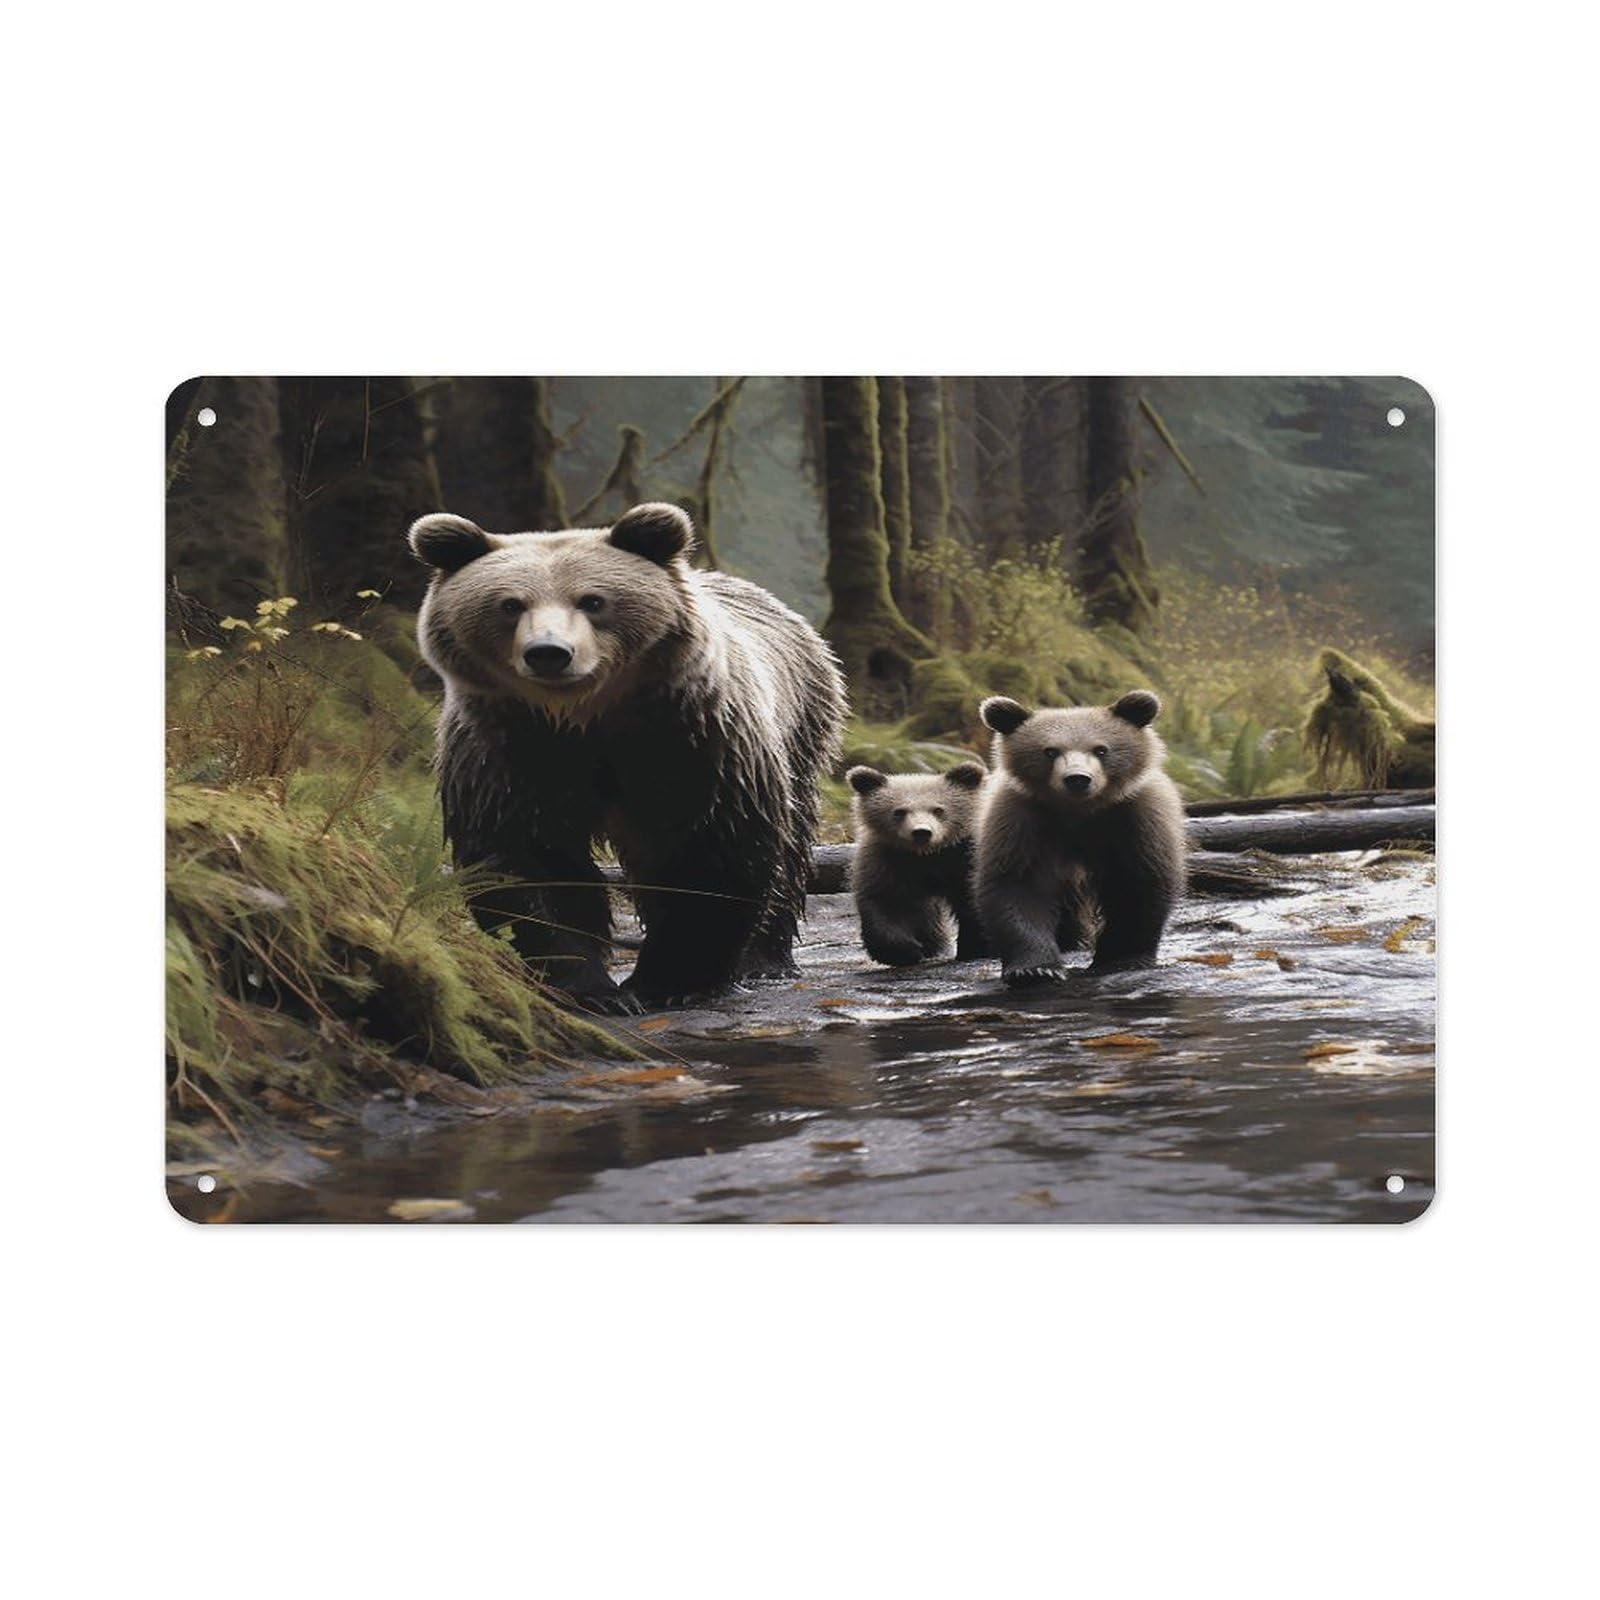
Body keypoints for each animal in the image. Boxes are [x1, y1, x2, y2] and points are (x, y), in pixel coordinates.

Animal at [409, 501, 847, 1015]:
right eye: (510, 604)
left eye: (593, 601)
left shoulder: (691, 740)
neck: (582, 717)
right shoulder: (509, 750)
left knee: (789, 845)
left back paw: (765, 959)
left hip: (800, 722)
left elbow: (715, 847)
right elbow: (526, 859)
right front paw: (592, 988)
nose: (549, 653)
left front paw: (669, 982)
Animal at [845, 762, 991, 966]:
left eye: (938, 810)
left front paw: (976, 947)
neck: (926, 855)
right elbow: (888, 903)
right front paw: (905, 951)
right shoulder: (889, 860)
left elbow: (972, 898)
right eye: (899, 812)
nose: (922, 832)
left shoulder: (963, 856)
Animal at [974, 690, 1187, 984]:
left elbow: (1137, 884)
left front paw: (1121, 958)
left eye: (1101, 749)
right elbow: (1018, 886)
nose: (1077, 779)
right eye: (1050, 751)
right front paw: (1036, 969)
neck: (1079, 811)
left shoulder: (1136, 817)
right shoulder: (1021, 820)